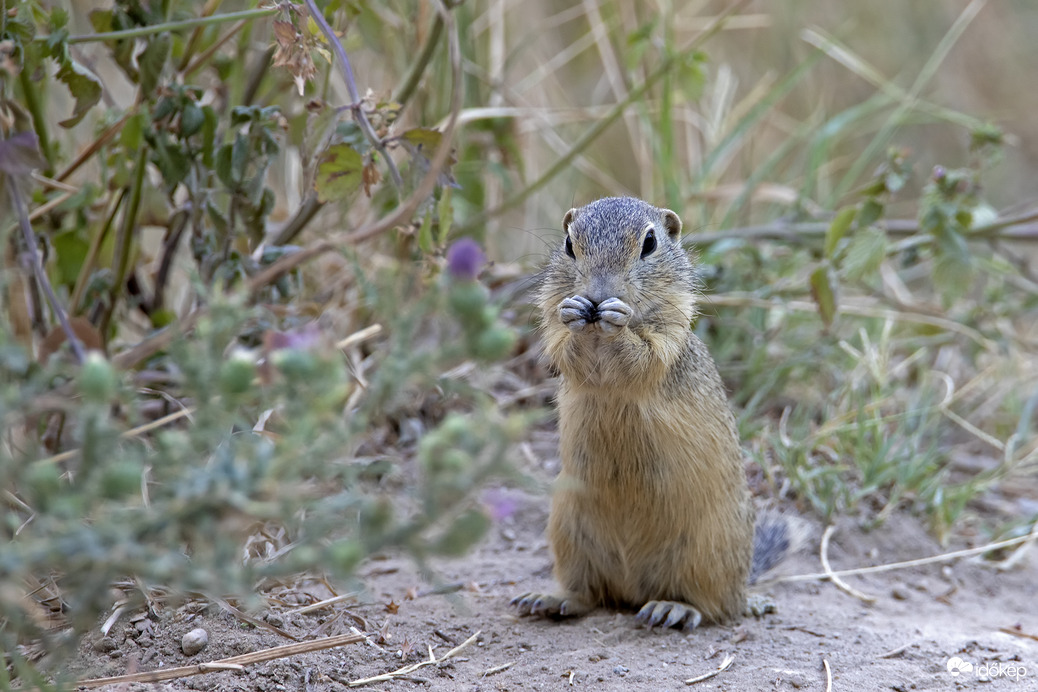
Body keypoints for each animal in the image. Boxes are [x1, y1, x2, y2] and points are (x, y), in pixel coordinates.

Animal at [510, 197, 793, 630]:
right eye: (569, 244)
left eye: (649, 243)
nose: (598, 297)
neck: (597, 337)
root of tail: (634, 591)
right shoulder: (558, 337)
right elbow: (566, 347)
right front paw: (575, 313)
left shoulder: (665, 340)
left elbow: (639, 356)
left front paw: (617, 322)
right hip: (568, 533)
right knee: (589, 594)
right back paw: (550, 599)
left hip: (706, 553)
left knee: (716, 607)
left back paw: (674, 607)